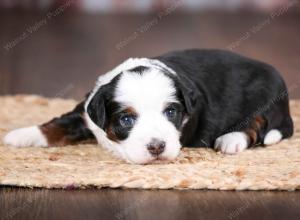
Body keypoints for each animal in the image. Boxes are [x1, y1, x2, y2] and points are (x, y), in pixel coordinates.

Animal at [4, 49, 292, 163]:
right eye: (126, 120)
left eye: (171, 112)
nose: (156, 147)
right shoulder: (84, 112)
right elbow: (58, 123)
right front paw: (21, 135)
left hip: (263, 100)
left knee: (257, 125)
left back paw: (231, 139)